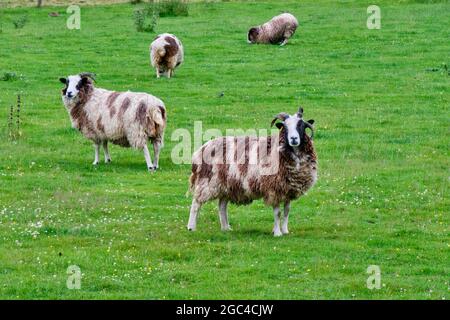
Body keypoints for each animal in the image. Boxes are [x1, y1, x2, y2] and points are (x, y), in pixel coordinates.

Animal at [186, 107, 316, 235]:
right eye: (285, 127)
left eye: (301, 125)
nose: (293, 139)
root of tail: (201, 149)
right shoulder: (273, 188)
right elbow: (277, 213)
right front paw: (277, 233)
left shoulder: (288, 188)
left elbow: (286, 211)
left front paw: (285, 231)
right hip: (207, 181)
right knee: (196, 203)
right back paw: (191, 227)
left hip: (226, 184)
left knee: (222, 206)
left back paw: (225, 228)